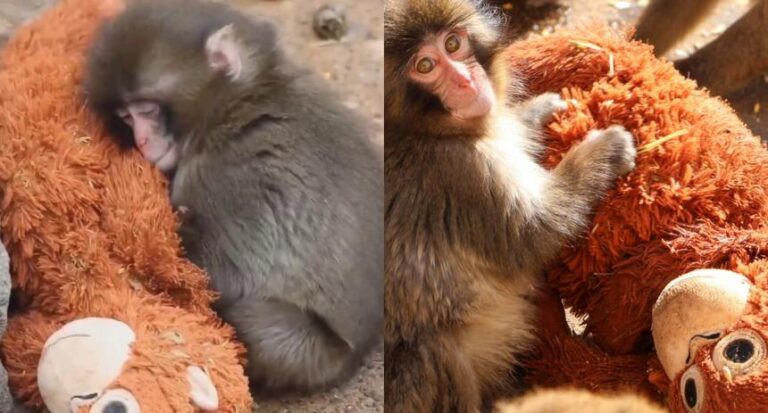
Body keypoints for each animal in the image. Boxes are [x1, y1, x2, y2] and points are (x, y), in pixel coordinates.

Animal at [84, 0, 383, 395]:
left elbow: (224, 275)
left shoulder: (228, 179)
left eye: (147, 109)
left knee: (258, 324)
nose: (142, 141)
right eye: (126, 116)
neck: (236, 104)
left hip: (313, 354)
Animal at [384, 0, 637, 411]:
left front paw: (538, 110)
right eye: (425, 65)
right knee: (431, 350)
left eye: (453, 44)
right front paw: (605, 150)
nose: (466, 82)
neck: (422, 129)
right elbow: (533, 234)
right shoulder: (461, 172)